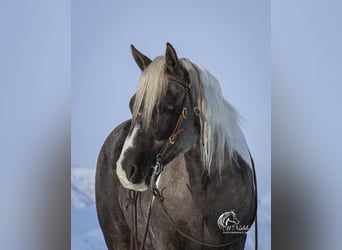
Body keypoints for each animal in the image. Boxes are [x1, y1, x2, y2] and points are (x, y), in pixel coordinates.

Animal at [95, 43, 255, 250]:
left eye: (165, 107)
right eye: (132, 104)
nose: (125, 169)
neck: (205, 192)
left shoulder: (236, 241)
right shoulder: (165, 241)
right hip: (117, 237)